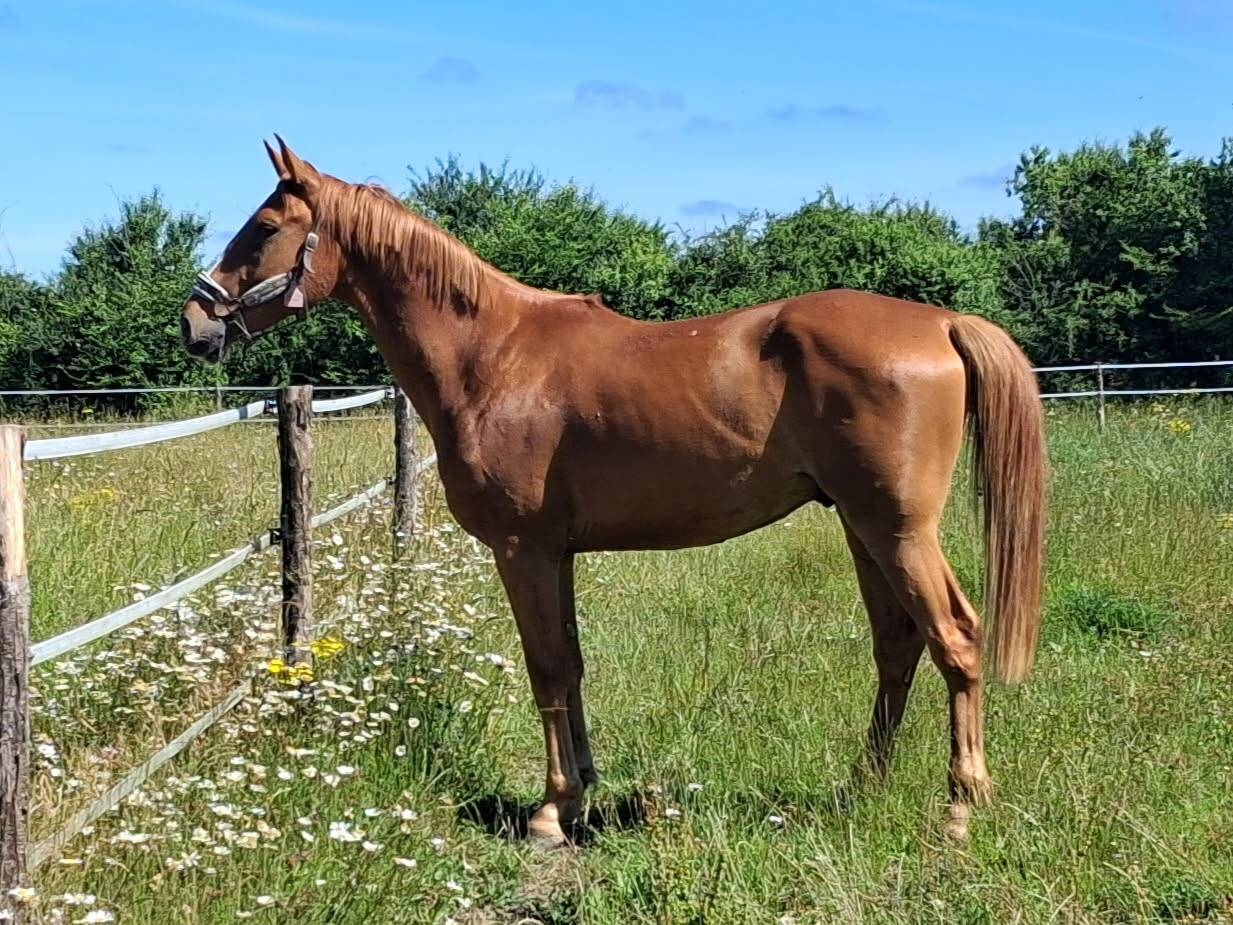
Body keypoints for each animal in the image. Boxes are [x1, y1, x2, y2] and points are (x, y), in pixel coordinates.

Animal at [181, 137, 1047, 846]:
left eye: (263, 226)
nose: (195, 321)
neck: (492, 355)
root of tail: (939, 323)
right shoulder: (555, 552)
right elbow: (570, 662)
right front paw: (581, 790)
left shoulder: (523, 549)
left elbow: (545, 667)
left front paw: (549, 810)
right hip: (862, 528)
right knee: (897, 645)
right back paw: (859, 787)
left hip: (898, 530)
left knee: (955, 638)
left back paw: (960, 805)